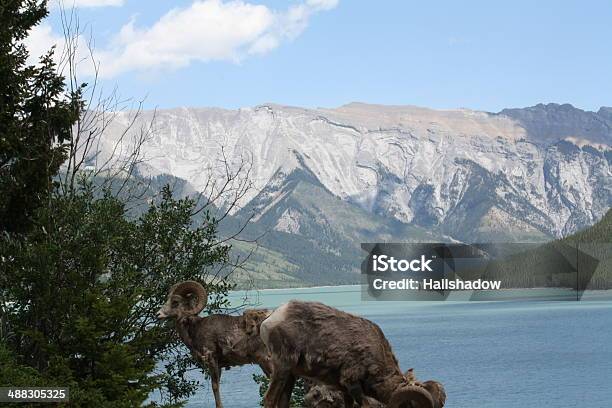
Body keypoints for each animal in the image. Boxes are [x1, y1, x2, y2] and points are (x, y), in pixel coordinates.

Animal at [157, 280, 272, 408]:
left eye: (175, 302)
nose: (158, 314)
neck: (196, 329)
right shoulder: (219, 365)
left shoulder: (211, 359)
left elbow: (215, 387)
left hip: (266, 360)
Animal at [258, 300, 444, 408]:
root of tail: (271, 318)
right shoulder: (352, 384)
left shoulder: (345, 390)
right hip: (282, 367)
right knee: (269, 399)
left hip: (291, 374)